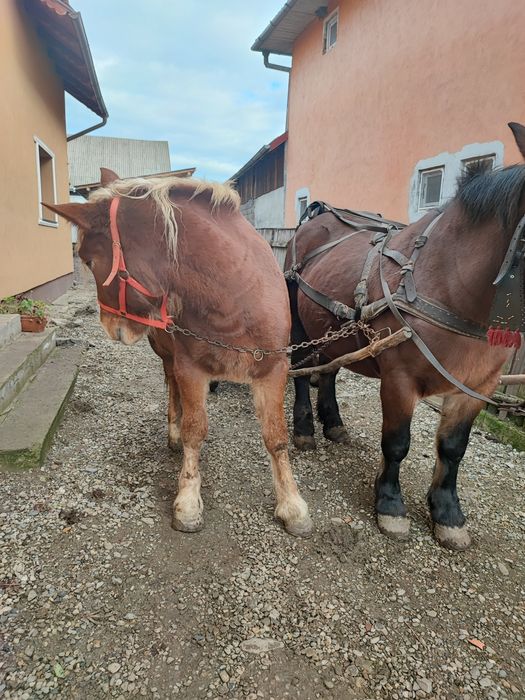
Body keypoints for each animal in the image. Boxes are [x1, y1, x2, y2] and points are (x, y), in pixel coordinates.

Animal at [47, 170, 312, 538]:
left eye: (89, 260)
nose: (111, 327)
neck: (235, 298)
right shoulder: (191, 369)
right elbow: (193, 430)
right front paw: (187, 502)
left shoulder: (273, 371)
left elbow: (276, 437)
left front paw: (292, 504)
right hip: (169, 357)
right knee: (171, 386)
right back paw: (173, 430)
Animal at [285, 122, 525, 551]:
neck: (450, 283)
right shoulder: (400, 379)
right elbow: (397, 443)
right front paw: (390, 505)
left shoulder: (477, 385)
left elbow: (453, 448)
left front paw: (447, 512)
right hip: (300, 318)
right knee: (301, 370)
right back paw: (304, 429)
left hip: (334, 328)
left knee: (327, 371)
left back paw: (333, 422)